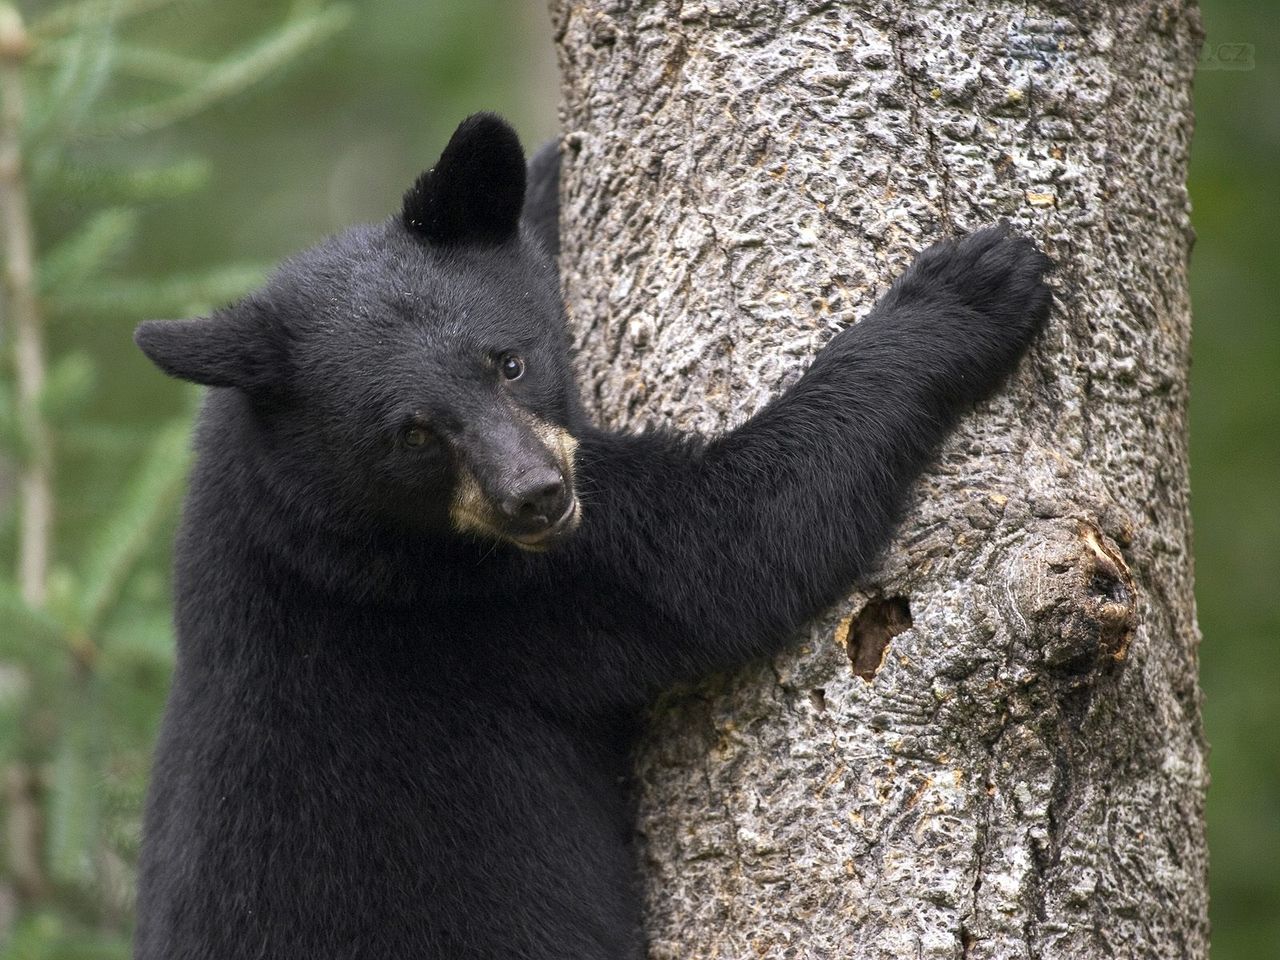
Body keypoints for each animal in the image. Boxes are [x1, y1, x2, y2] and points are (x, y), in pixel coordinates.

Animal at [132, 113, 1052, 960]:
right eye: (413, 433)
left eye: (508, 361)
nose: (536, 497)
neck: (293, 503)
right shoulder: (477, 594)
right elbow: (729, 548)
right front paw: (967, 290)